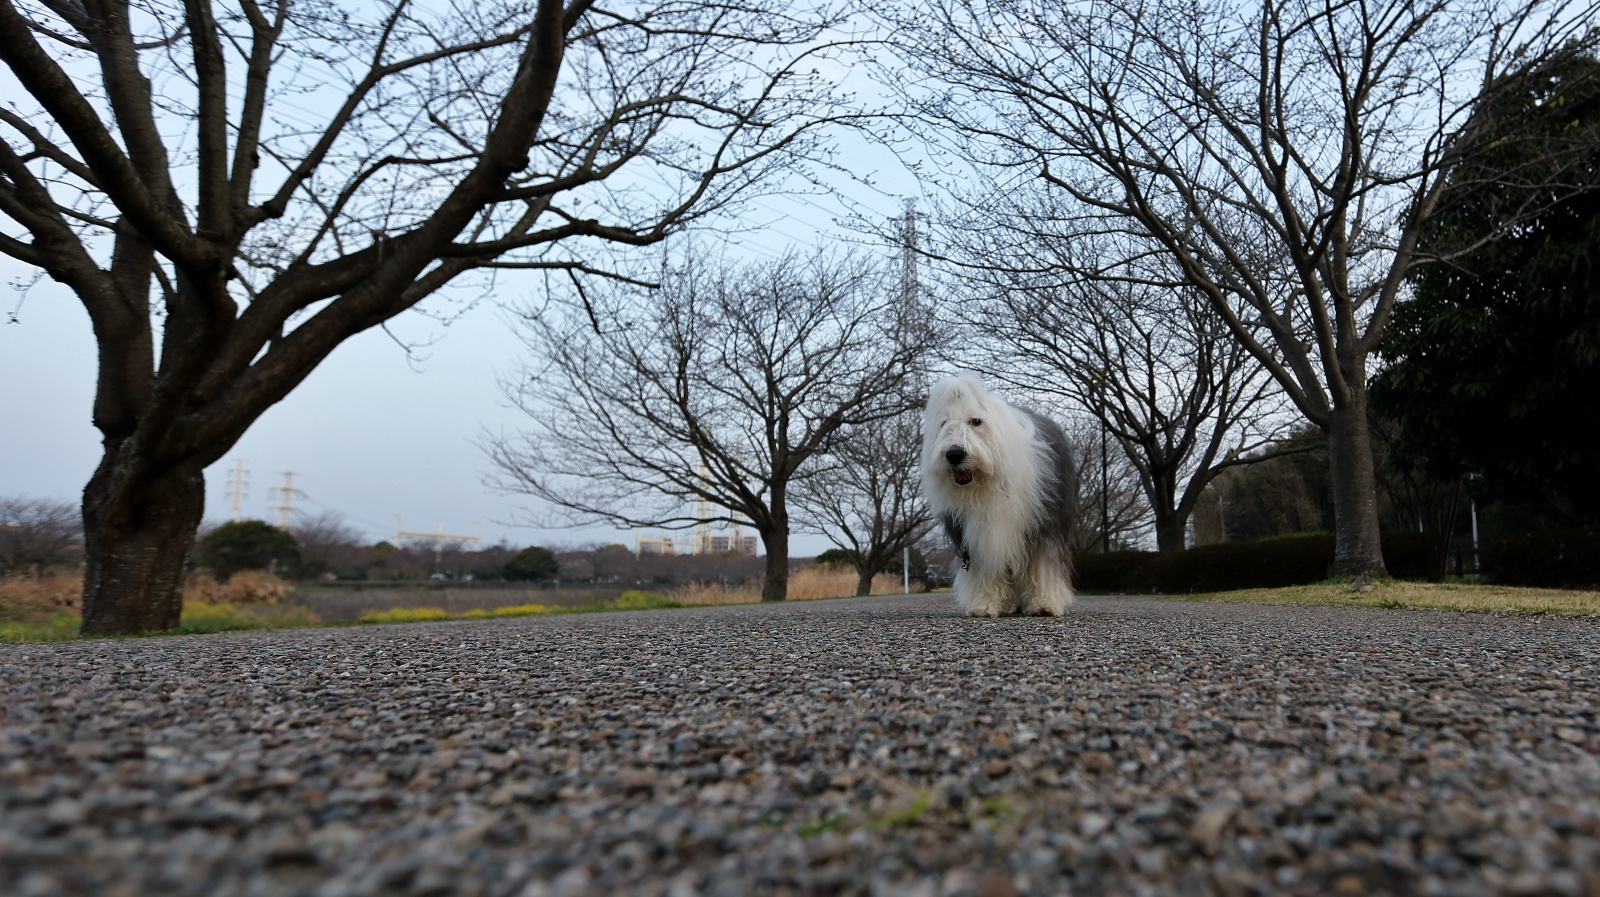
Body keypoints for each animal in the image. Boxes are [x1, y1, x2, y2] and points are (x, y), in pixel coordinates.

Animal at [921, 373, 1078, 617]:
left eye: (976, 421)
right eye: (943, 423)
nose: (954, 454)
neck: (984, 487)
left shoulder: (1043, 524)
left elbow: (1043, 563)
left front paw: (1043, 603)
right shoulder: (971, 536)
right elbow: (984, 567)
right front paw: (986, 604)